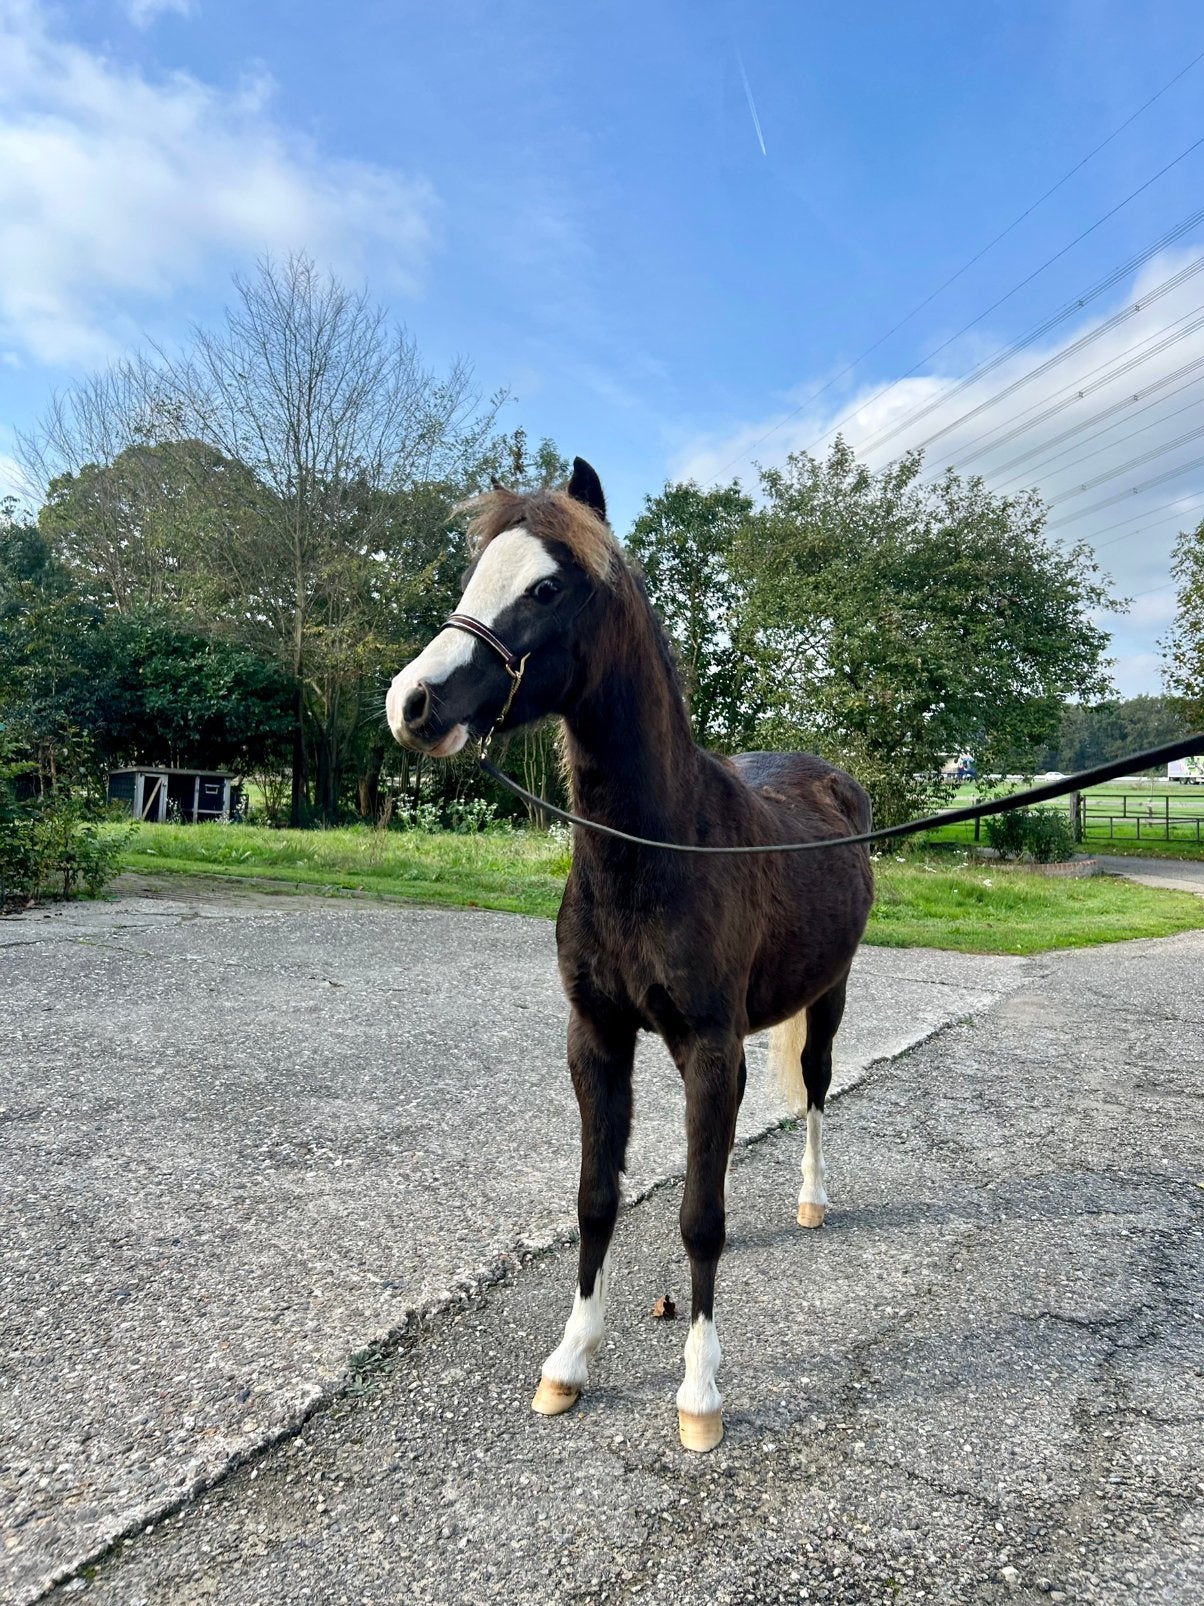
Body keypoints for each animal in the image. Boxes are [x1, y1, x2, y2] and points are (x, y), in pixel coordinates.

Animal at [386, 458, 874, 1452]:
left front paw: (700, 1393)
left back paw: (812, 1198)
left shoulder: (709, 1049)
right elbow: (598, 1197)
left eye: (545, 588)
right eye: (476, 575)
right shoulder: (597, 1038)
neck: (660, 850)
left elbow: (699, 1218)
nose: (412, 704)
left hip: (830, 997)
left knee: (815, 1090)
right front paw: (570, 1361)